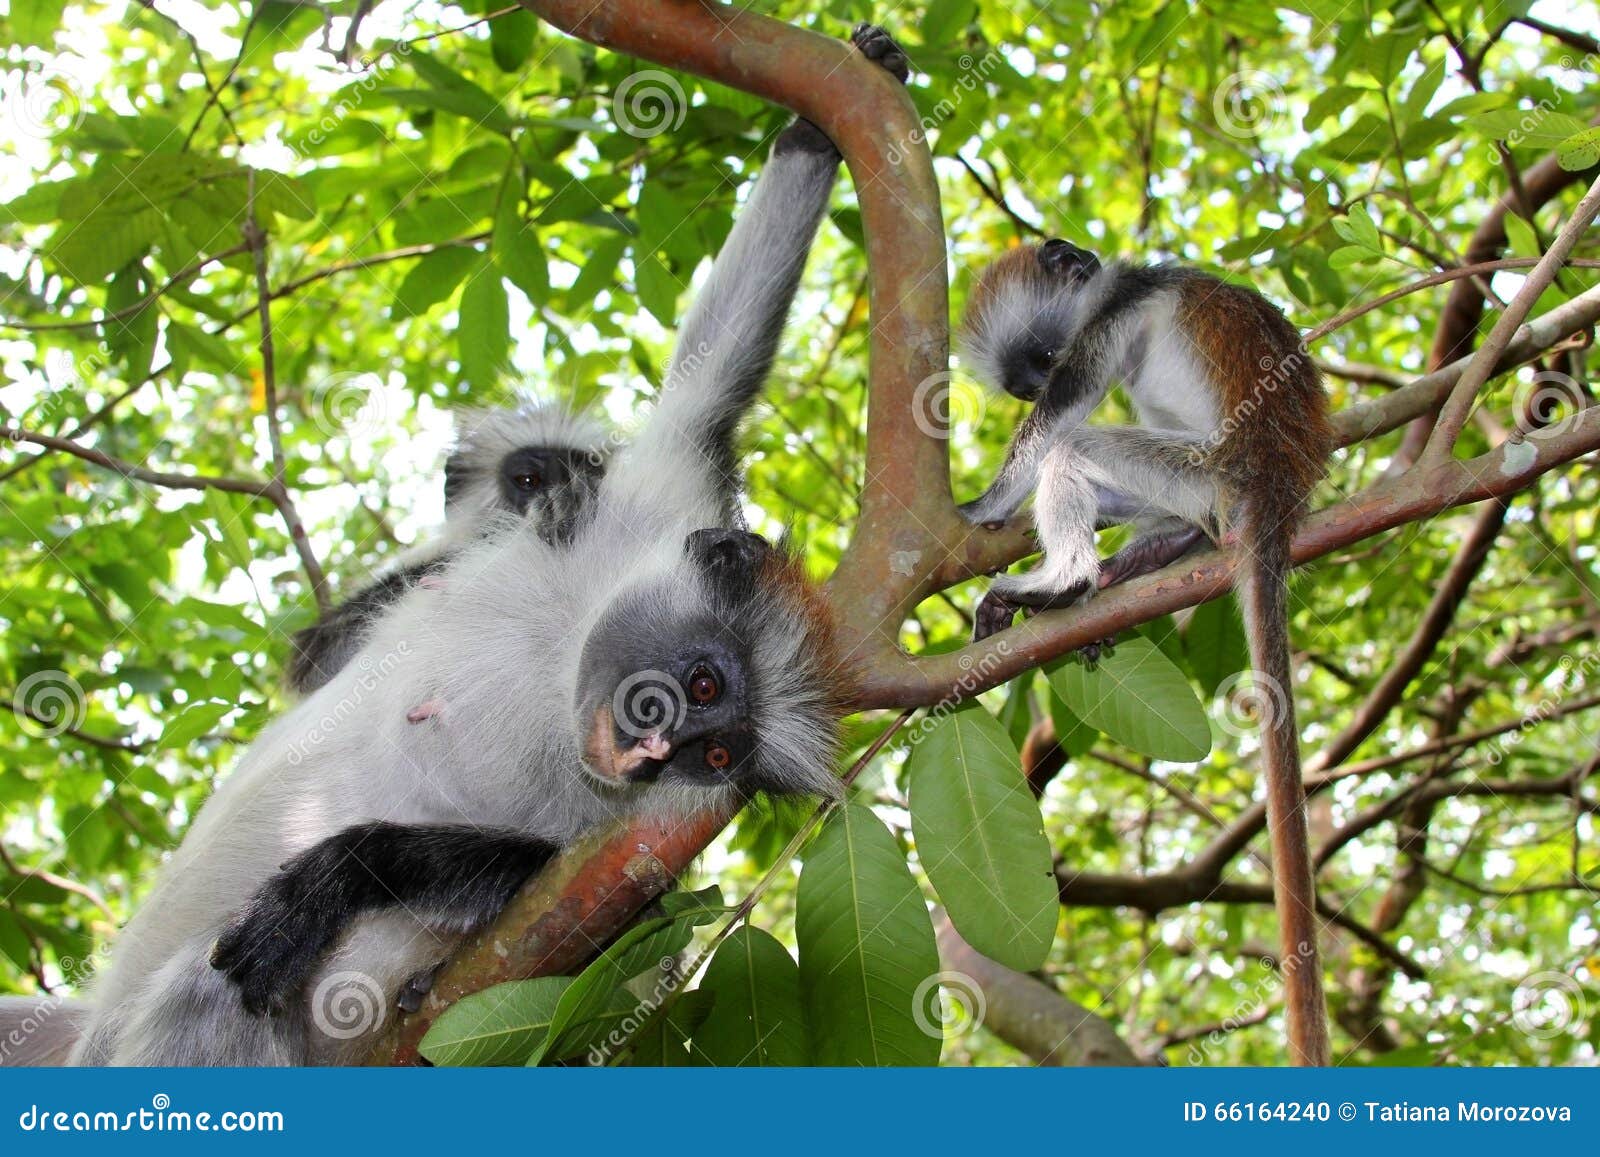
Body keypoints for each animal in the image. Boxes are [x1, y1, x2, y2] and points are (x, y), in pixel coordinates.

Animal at [953, 236, 1331, 1068]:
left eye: (1044, 359)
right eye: (1024, 374)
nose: (1037, 380)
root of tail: (1277, 481)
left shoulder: (1117, 314)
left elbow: (1055, 421)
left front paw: (977, 507)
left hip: (1205, 471)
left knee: (1074, 444)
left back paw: (1070, 578)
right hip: (1197, 486)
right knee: (1162, 506)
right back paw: (1134, 569)